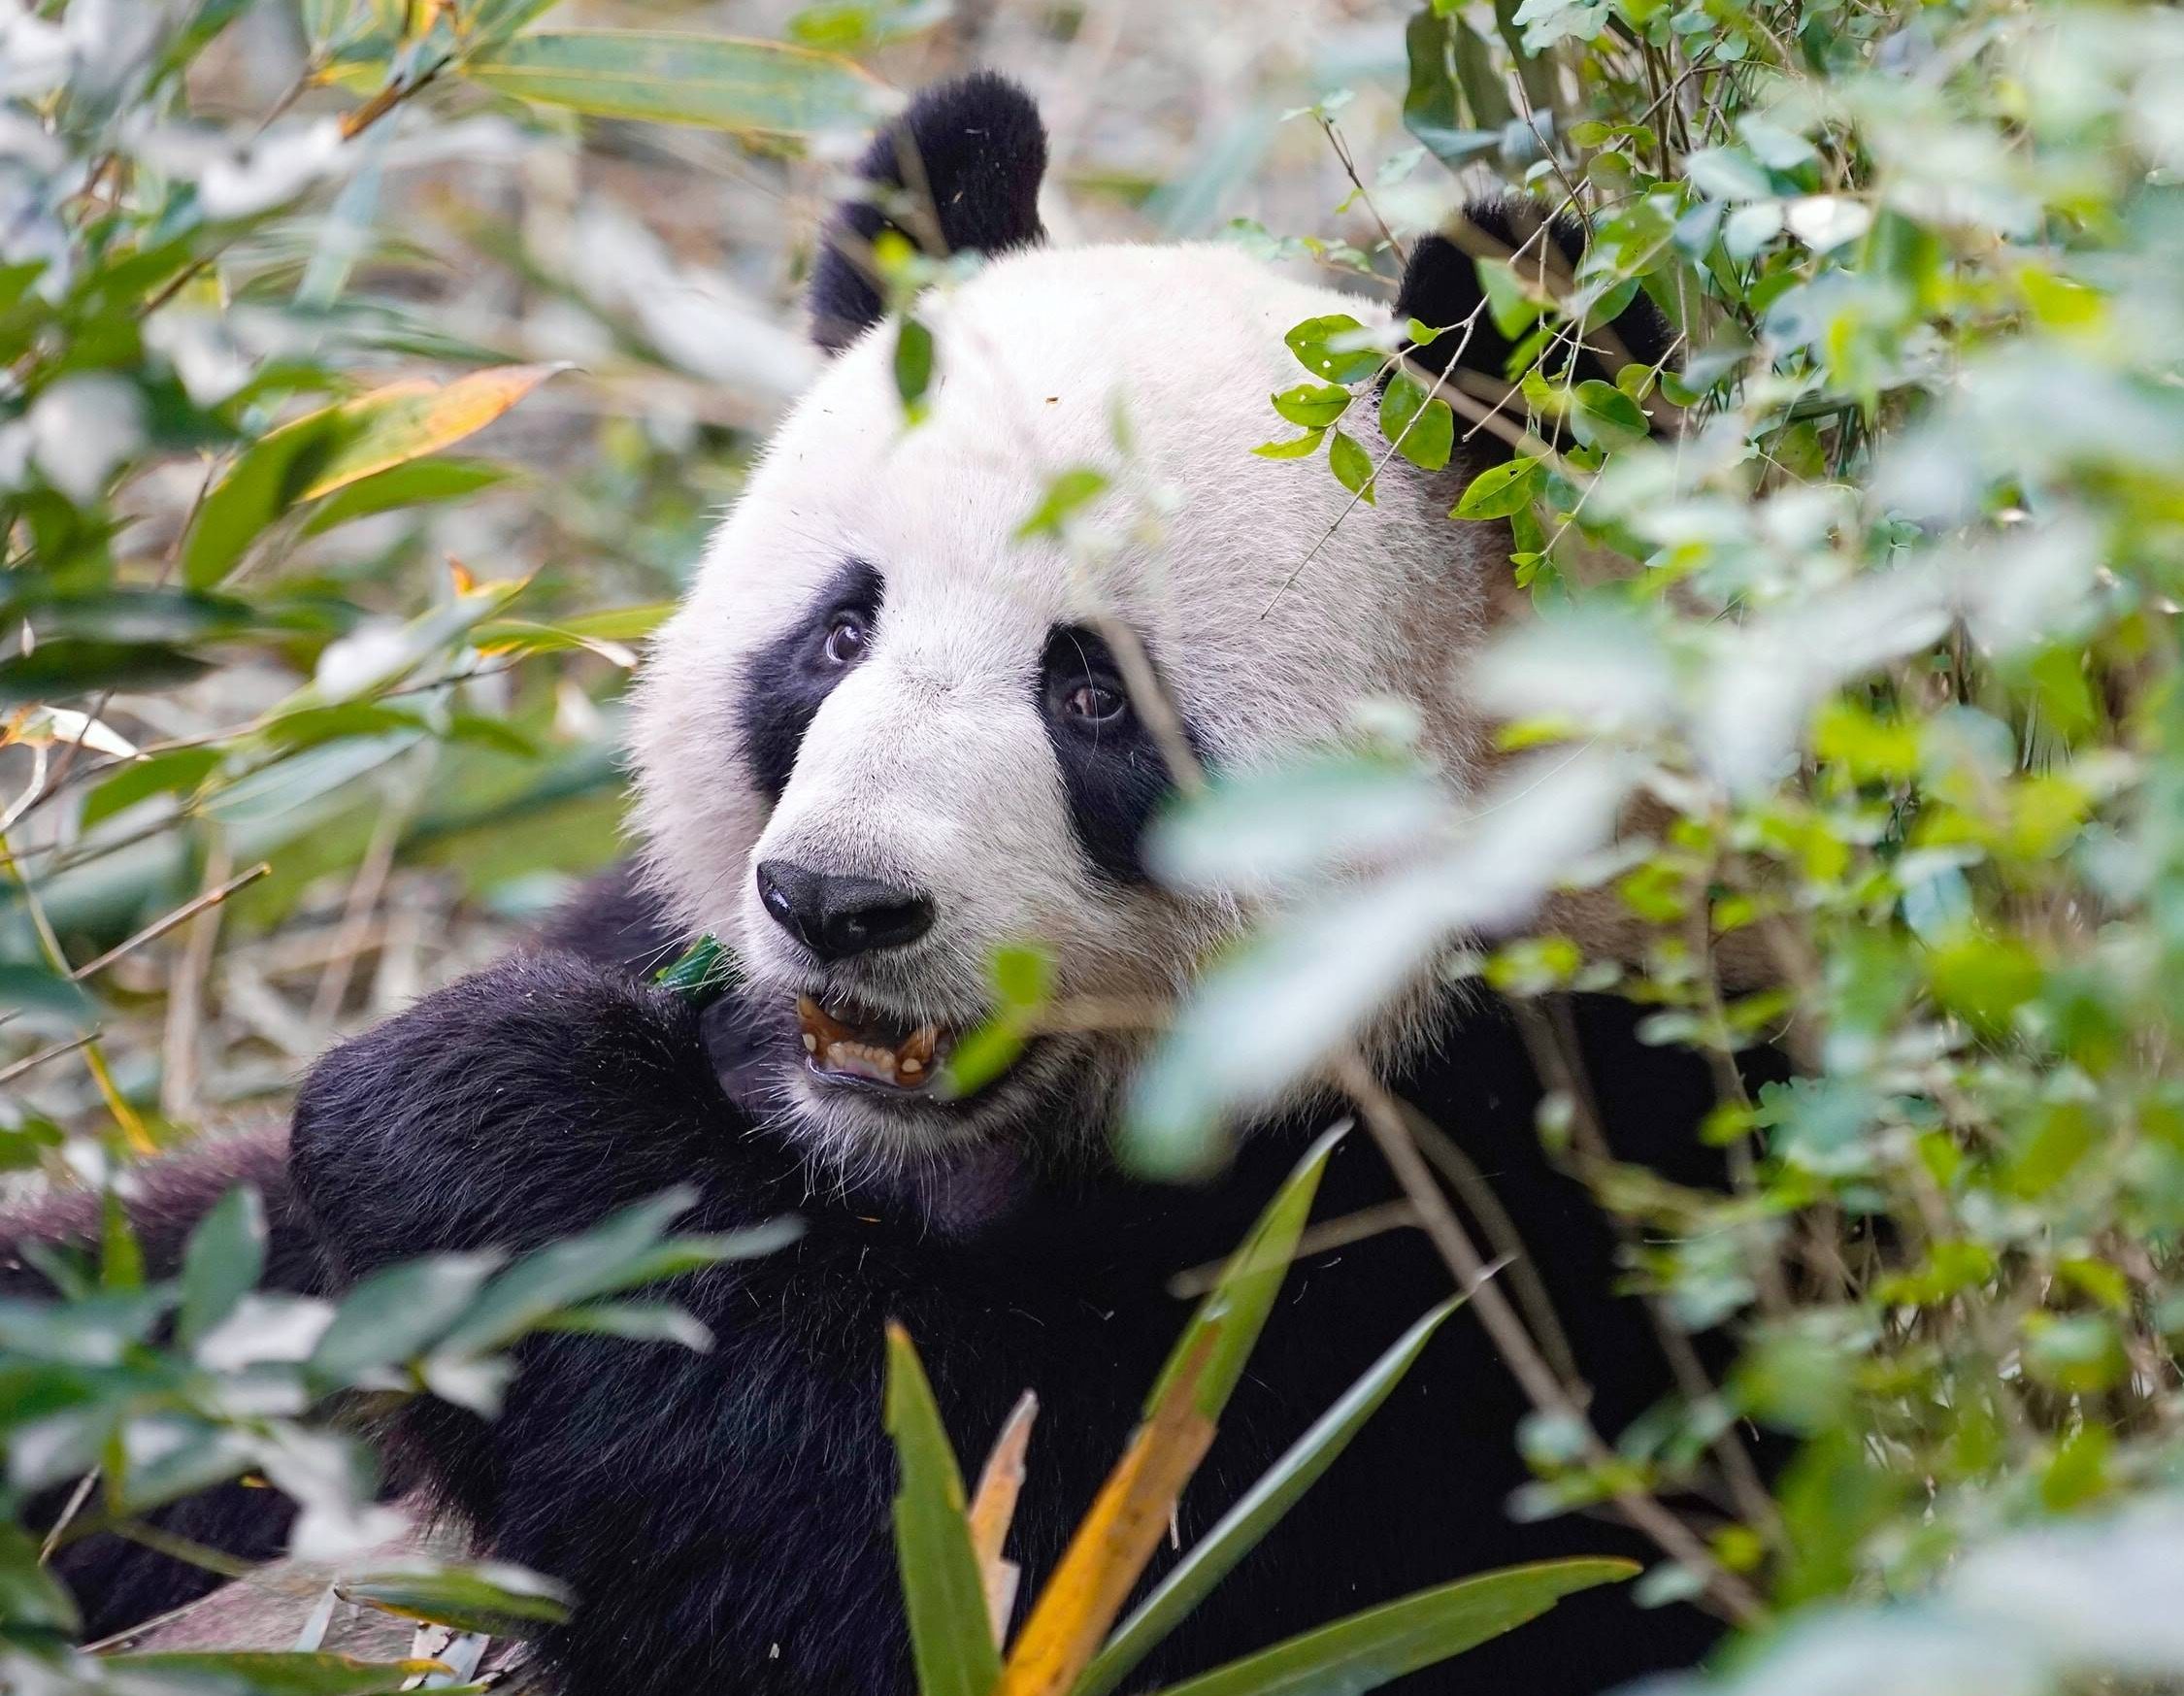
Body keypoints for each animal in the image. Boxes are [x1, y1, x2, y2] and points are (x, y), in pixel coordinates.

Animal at [20, 72, 1756, 1696]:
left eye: (1097, 694)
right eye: (837, 632)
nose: (834, 902)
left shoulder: (1523, 1231)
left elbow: (979, 1549)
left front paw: (475, 1104)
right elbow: (183, 1284)